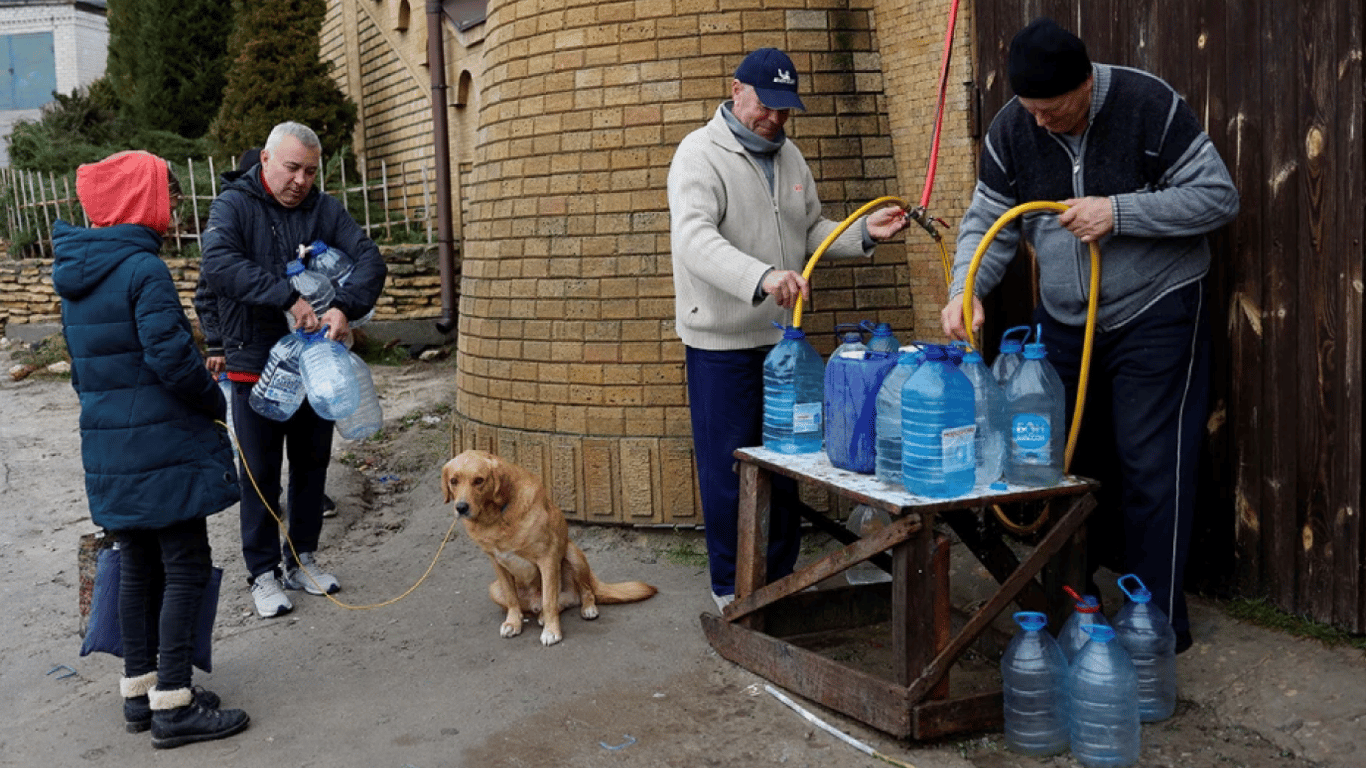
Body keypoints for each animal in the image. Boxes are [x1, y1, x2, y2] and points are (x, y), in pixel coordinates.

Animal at [439, 445, 658, 642]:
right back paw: (535, 615)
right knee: (539, 606)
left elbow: (549, 599)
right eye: (454, 481)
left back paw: (585, 609)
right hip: (494, 589)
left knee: (583, 591)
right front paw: (513, 623)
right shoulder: (497, 562)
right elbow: (512, 598)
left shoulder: (547, 558)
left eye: (479, 481)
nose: (461, 507)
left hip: (572, 554)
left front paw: (552, 631)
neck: (496, 518)